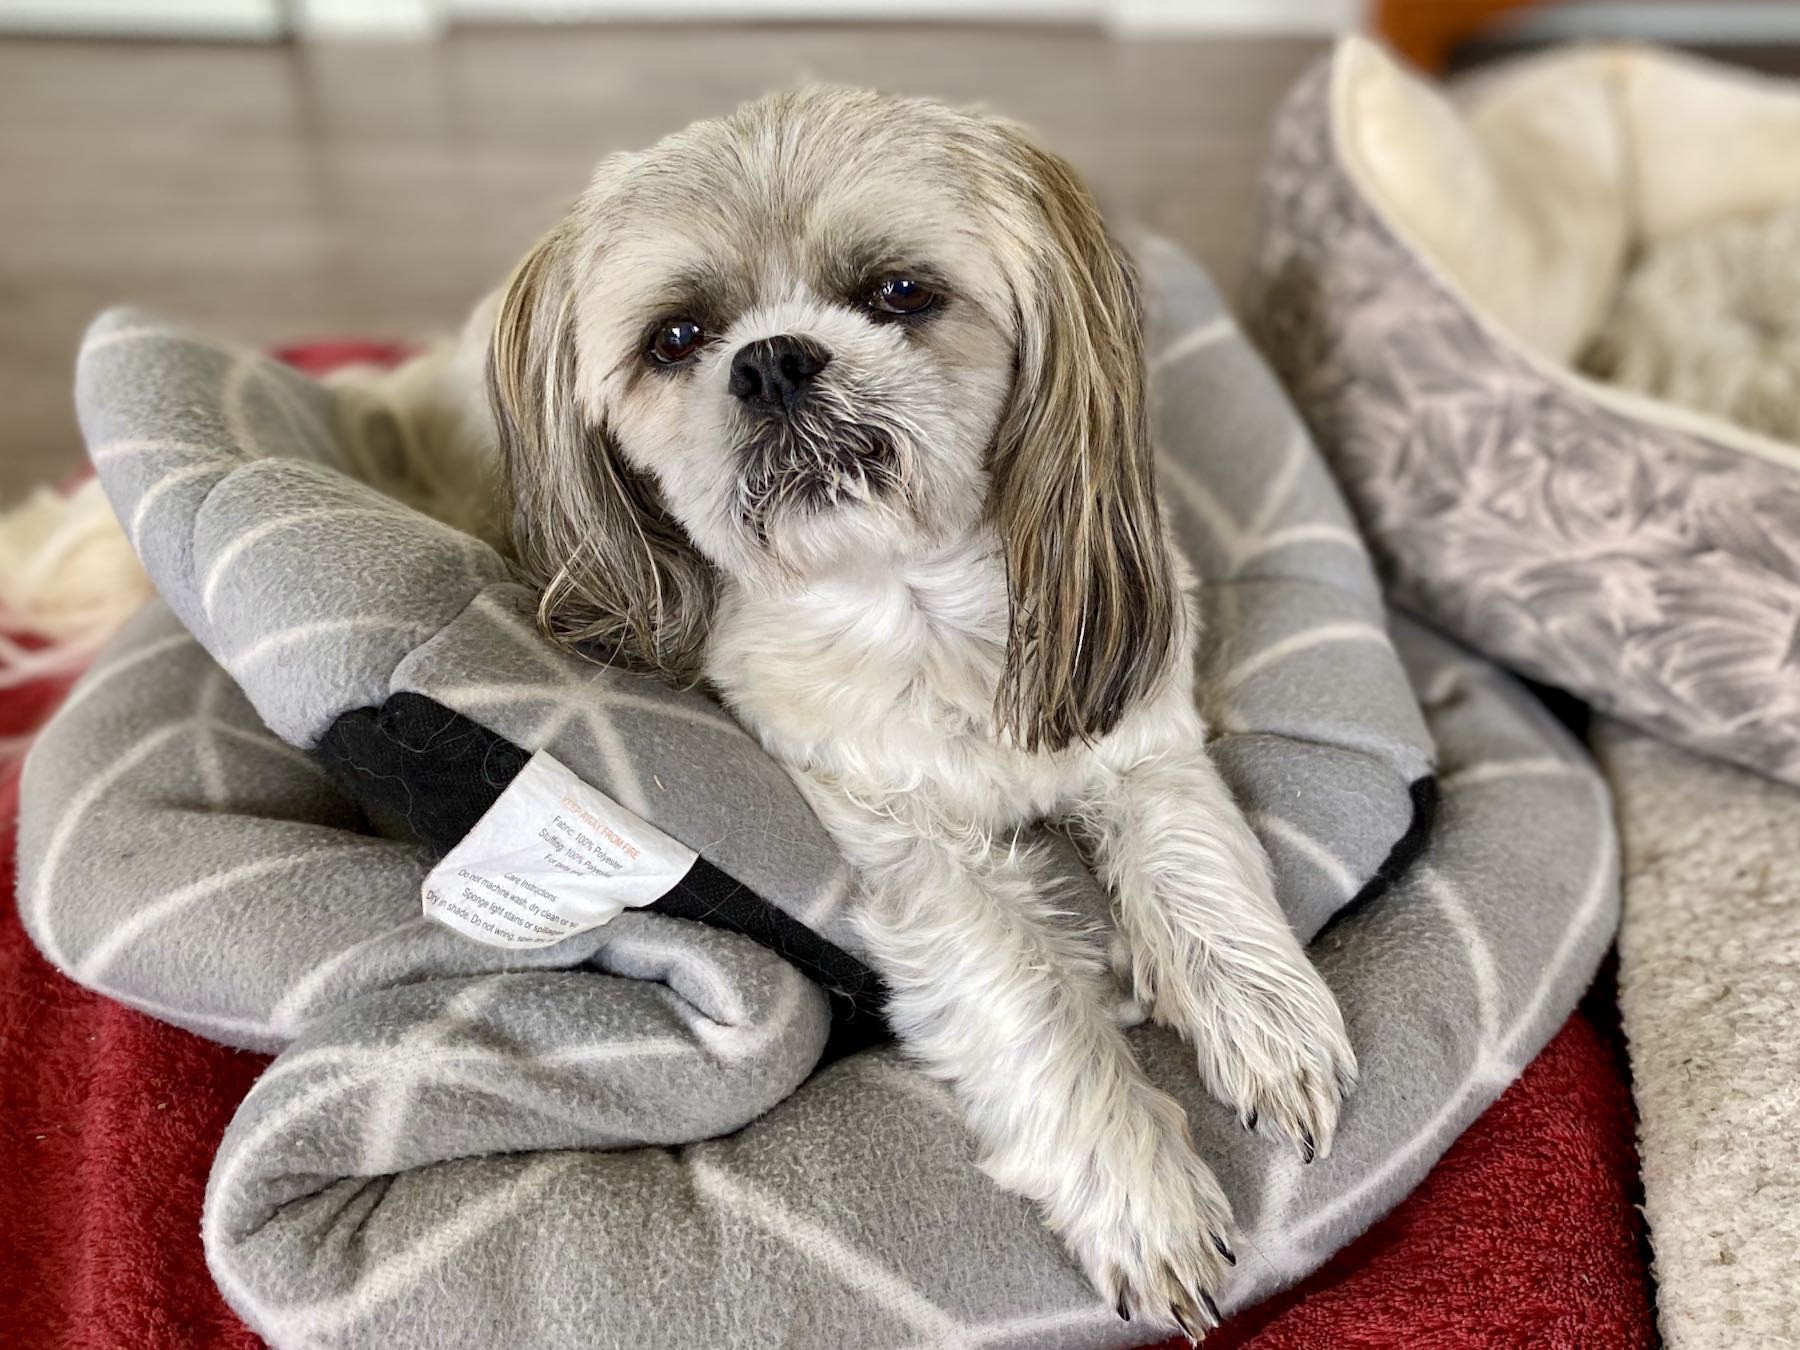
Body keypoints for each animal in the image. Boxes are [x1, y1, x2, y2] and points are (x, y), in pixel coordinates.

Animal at [347, 87, 1353, 1346]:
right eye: (675, 339)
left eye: (901, 292)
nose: (774, 361)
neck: (912, 607)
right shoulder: (909, 853)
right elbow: (1023, 989)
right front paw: (1135, 1187)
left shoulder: (1137, 739)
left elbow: (1195, 872)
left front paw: (1270, 1026)